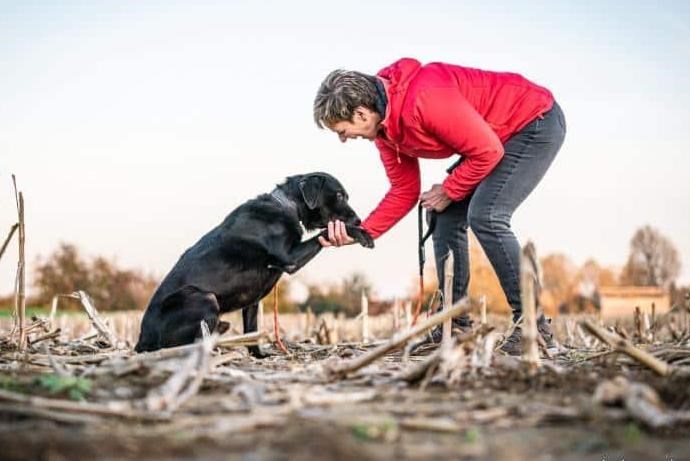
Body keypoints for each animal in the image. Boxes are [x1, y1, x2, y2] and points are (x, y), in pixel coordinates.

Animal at [134, 172, 370, 356]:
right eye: (339, 195)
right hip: (204, 297)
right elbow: (324, 233)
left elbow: (252, 330)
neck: (286, 206)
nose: (358, 220)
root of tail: (142, 340)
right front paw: (361, 234)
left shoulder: (253, 301)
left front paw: (259, 356)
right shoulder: (291, 259)